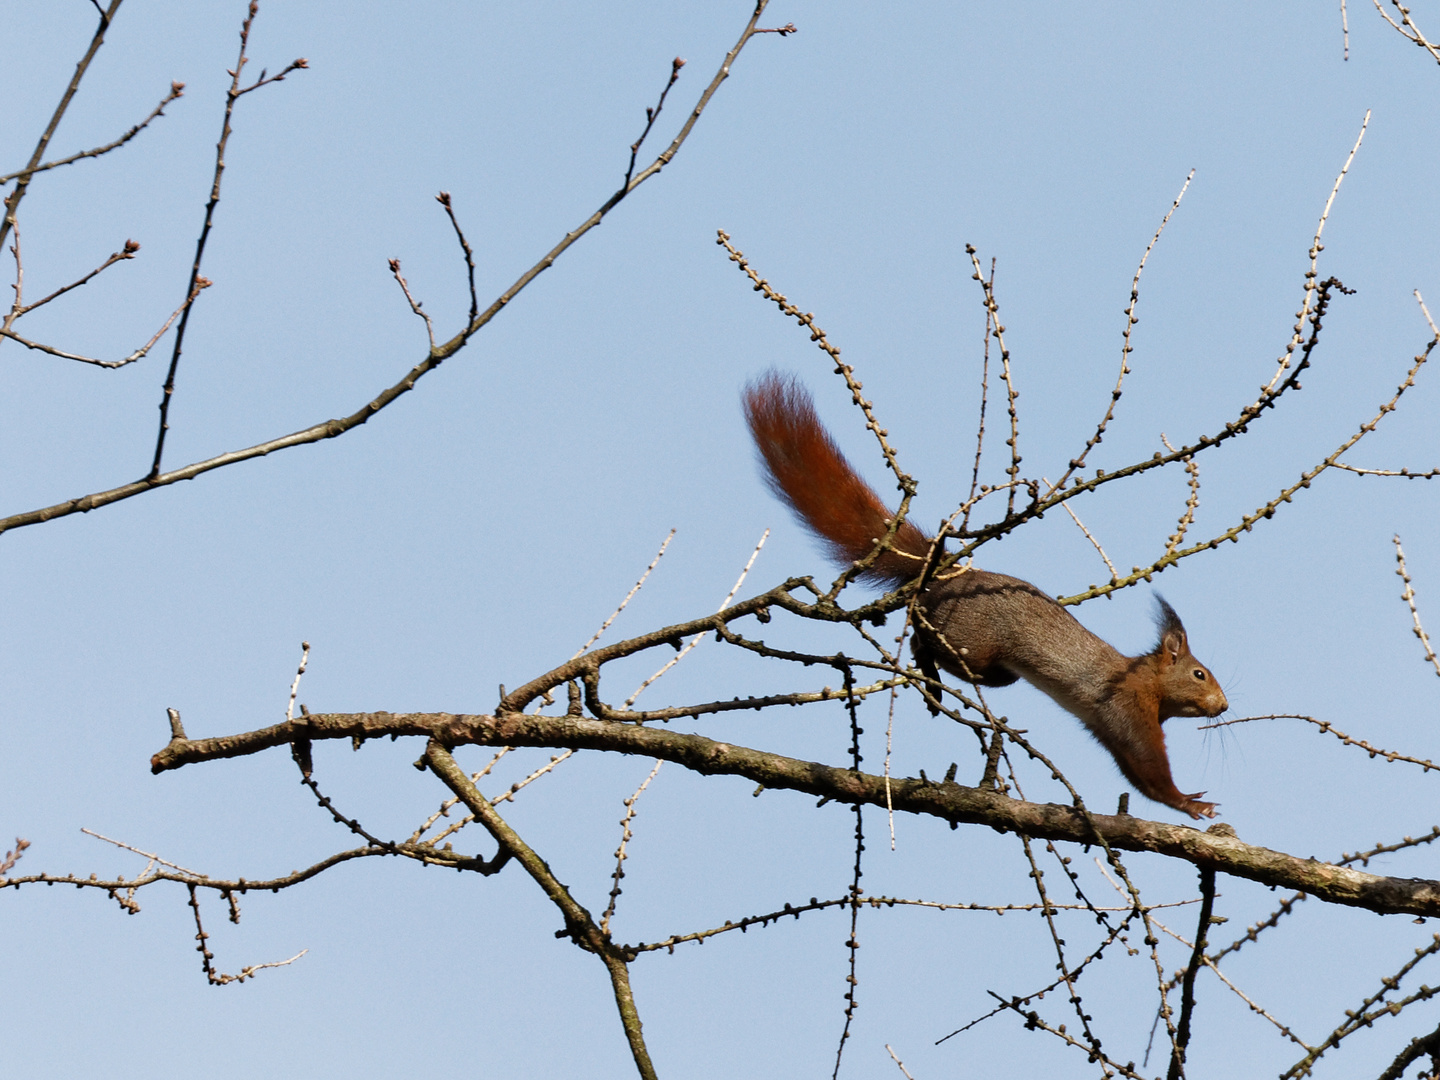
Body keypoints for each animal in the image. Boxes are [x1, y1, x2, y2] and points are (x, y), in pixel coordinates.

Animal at [743, 371, 1226, 817]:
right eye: (1200, 674)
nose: (1223, 704)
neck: (1148, 681)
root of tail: (944, 574)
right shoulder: (1127, 707)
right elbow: (1148, 767)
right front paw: (1190, 803)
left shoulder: (1109, 729)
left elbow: (1133, 774)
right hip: (974, 649)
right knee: (922, 637)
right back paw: (928, 670)